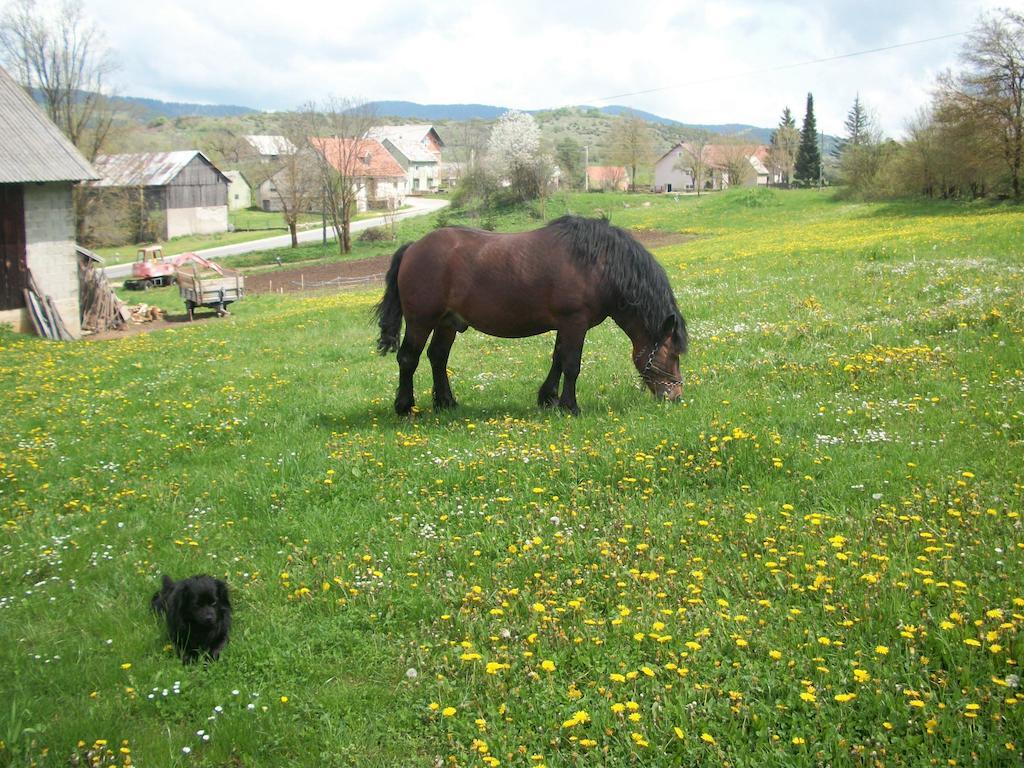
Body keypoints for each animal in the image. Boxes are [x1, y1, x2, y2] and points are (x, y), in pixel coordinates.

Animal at [376, 217, 688, 415]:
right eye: (673, 355)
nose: (675, 397)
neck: (598, 264)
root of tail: (413, 247)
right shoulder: (575, 322)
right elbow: (571, 364)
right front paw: (570, 406)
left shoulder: (566, 324)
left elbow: (558, 360)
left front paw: (548, 398)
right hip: (420, 321)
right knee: (408, 358)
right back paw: (404, 406)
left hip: (447, 323)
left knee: (438, 357)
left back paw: (446, 402)